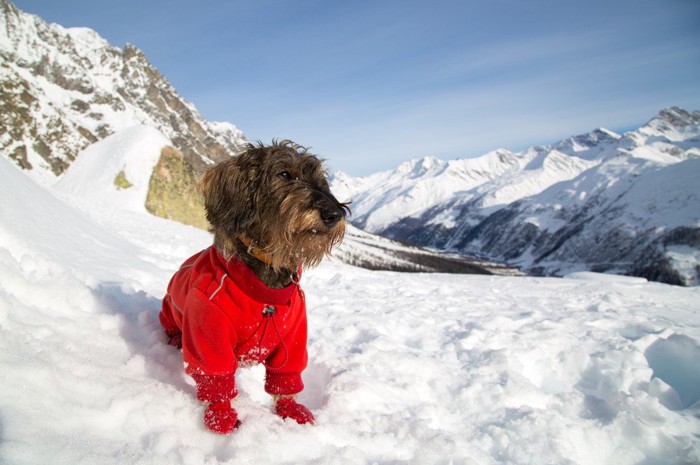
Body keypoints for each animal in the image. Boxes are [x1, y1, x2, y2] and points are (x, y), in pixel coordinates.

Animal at [161, 140, 350, 434]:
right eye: (284, 174)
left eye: (321, 179)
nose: (334, 214)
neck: (265, 288)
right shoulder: (209, 332)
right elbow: (214, 377)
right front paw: (221, 416)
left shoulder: (294, 338)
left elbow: (285, 376)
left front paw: (290, 409)